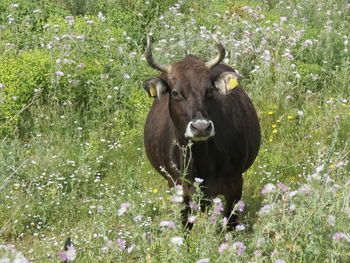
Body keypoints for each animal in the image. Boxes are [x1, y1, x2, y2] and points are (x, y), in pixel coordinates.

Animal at [142, 35, 260, 231]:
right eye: (175, 92)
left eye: (210, 90)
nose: (201, 127)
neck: (200, 161)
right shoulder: (178, 188)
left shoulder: (235, 183)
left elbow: (231, 224)